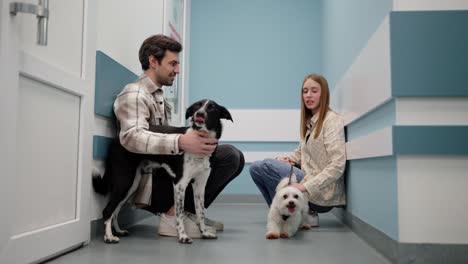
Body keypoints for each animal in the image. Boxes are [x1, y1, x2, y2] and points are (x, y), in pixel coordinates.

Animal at [92, 100, 233, 244]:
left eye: (212, 108)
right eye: (197, 106)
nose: (199, 113)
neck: (201, 136)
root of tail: (117, 138)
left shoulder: (200, 185)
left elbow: (201, 212)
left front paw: (204, 232)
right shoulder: (179, 184)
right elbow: (179, 213)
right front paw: (183, 236)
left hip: (132, 184)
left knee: (115, 210)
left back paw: (119, 231)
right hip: (124, 180)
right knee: (108, 210)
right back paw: (109, 237)